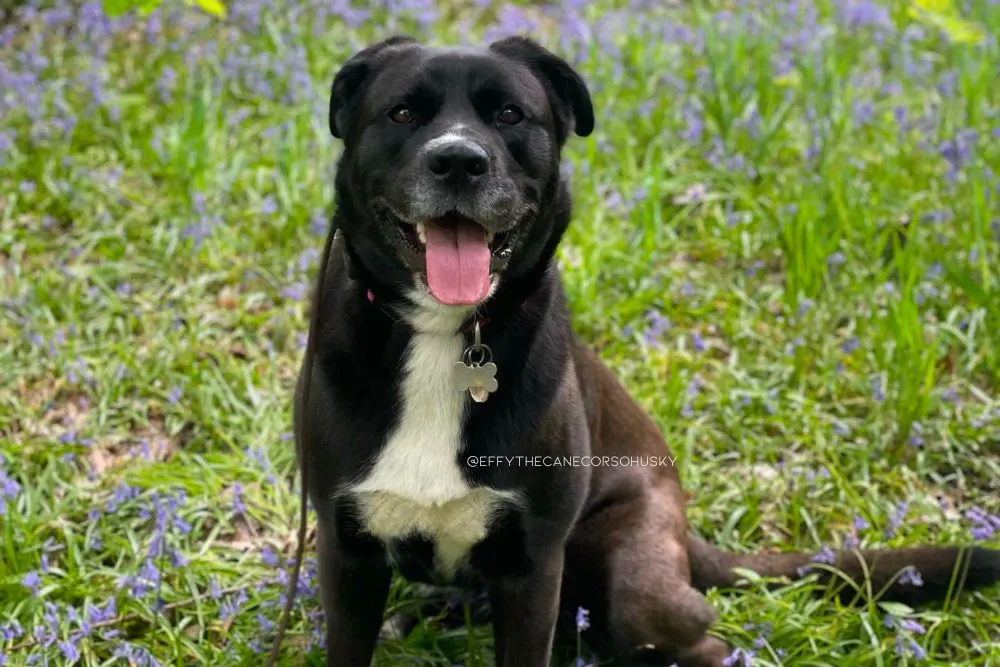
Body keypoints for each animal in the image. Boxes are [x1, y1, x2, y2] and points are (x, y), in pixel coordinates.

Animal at [286, 36, 1000, 667]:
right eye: (402, 113)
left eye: (509, 114)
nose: (459, 161)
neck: (444, 332)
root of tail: (682, 527)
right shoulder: (347, 552)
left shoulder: (533, 566)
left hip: (634, 582)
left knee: (700, 643)